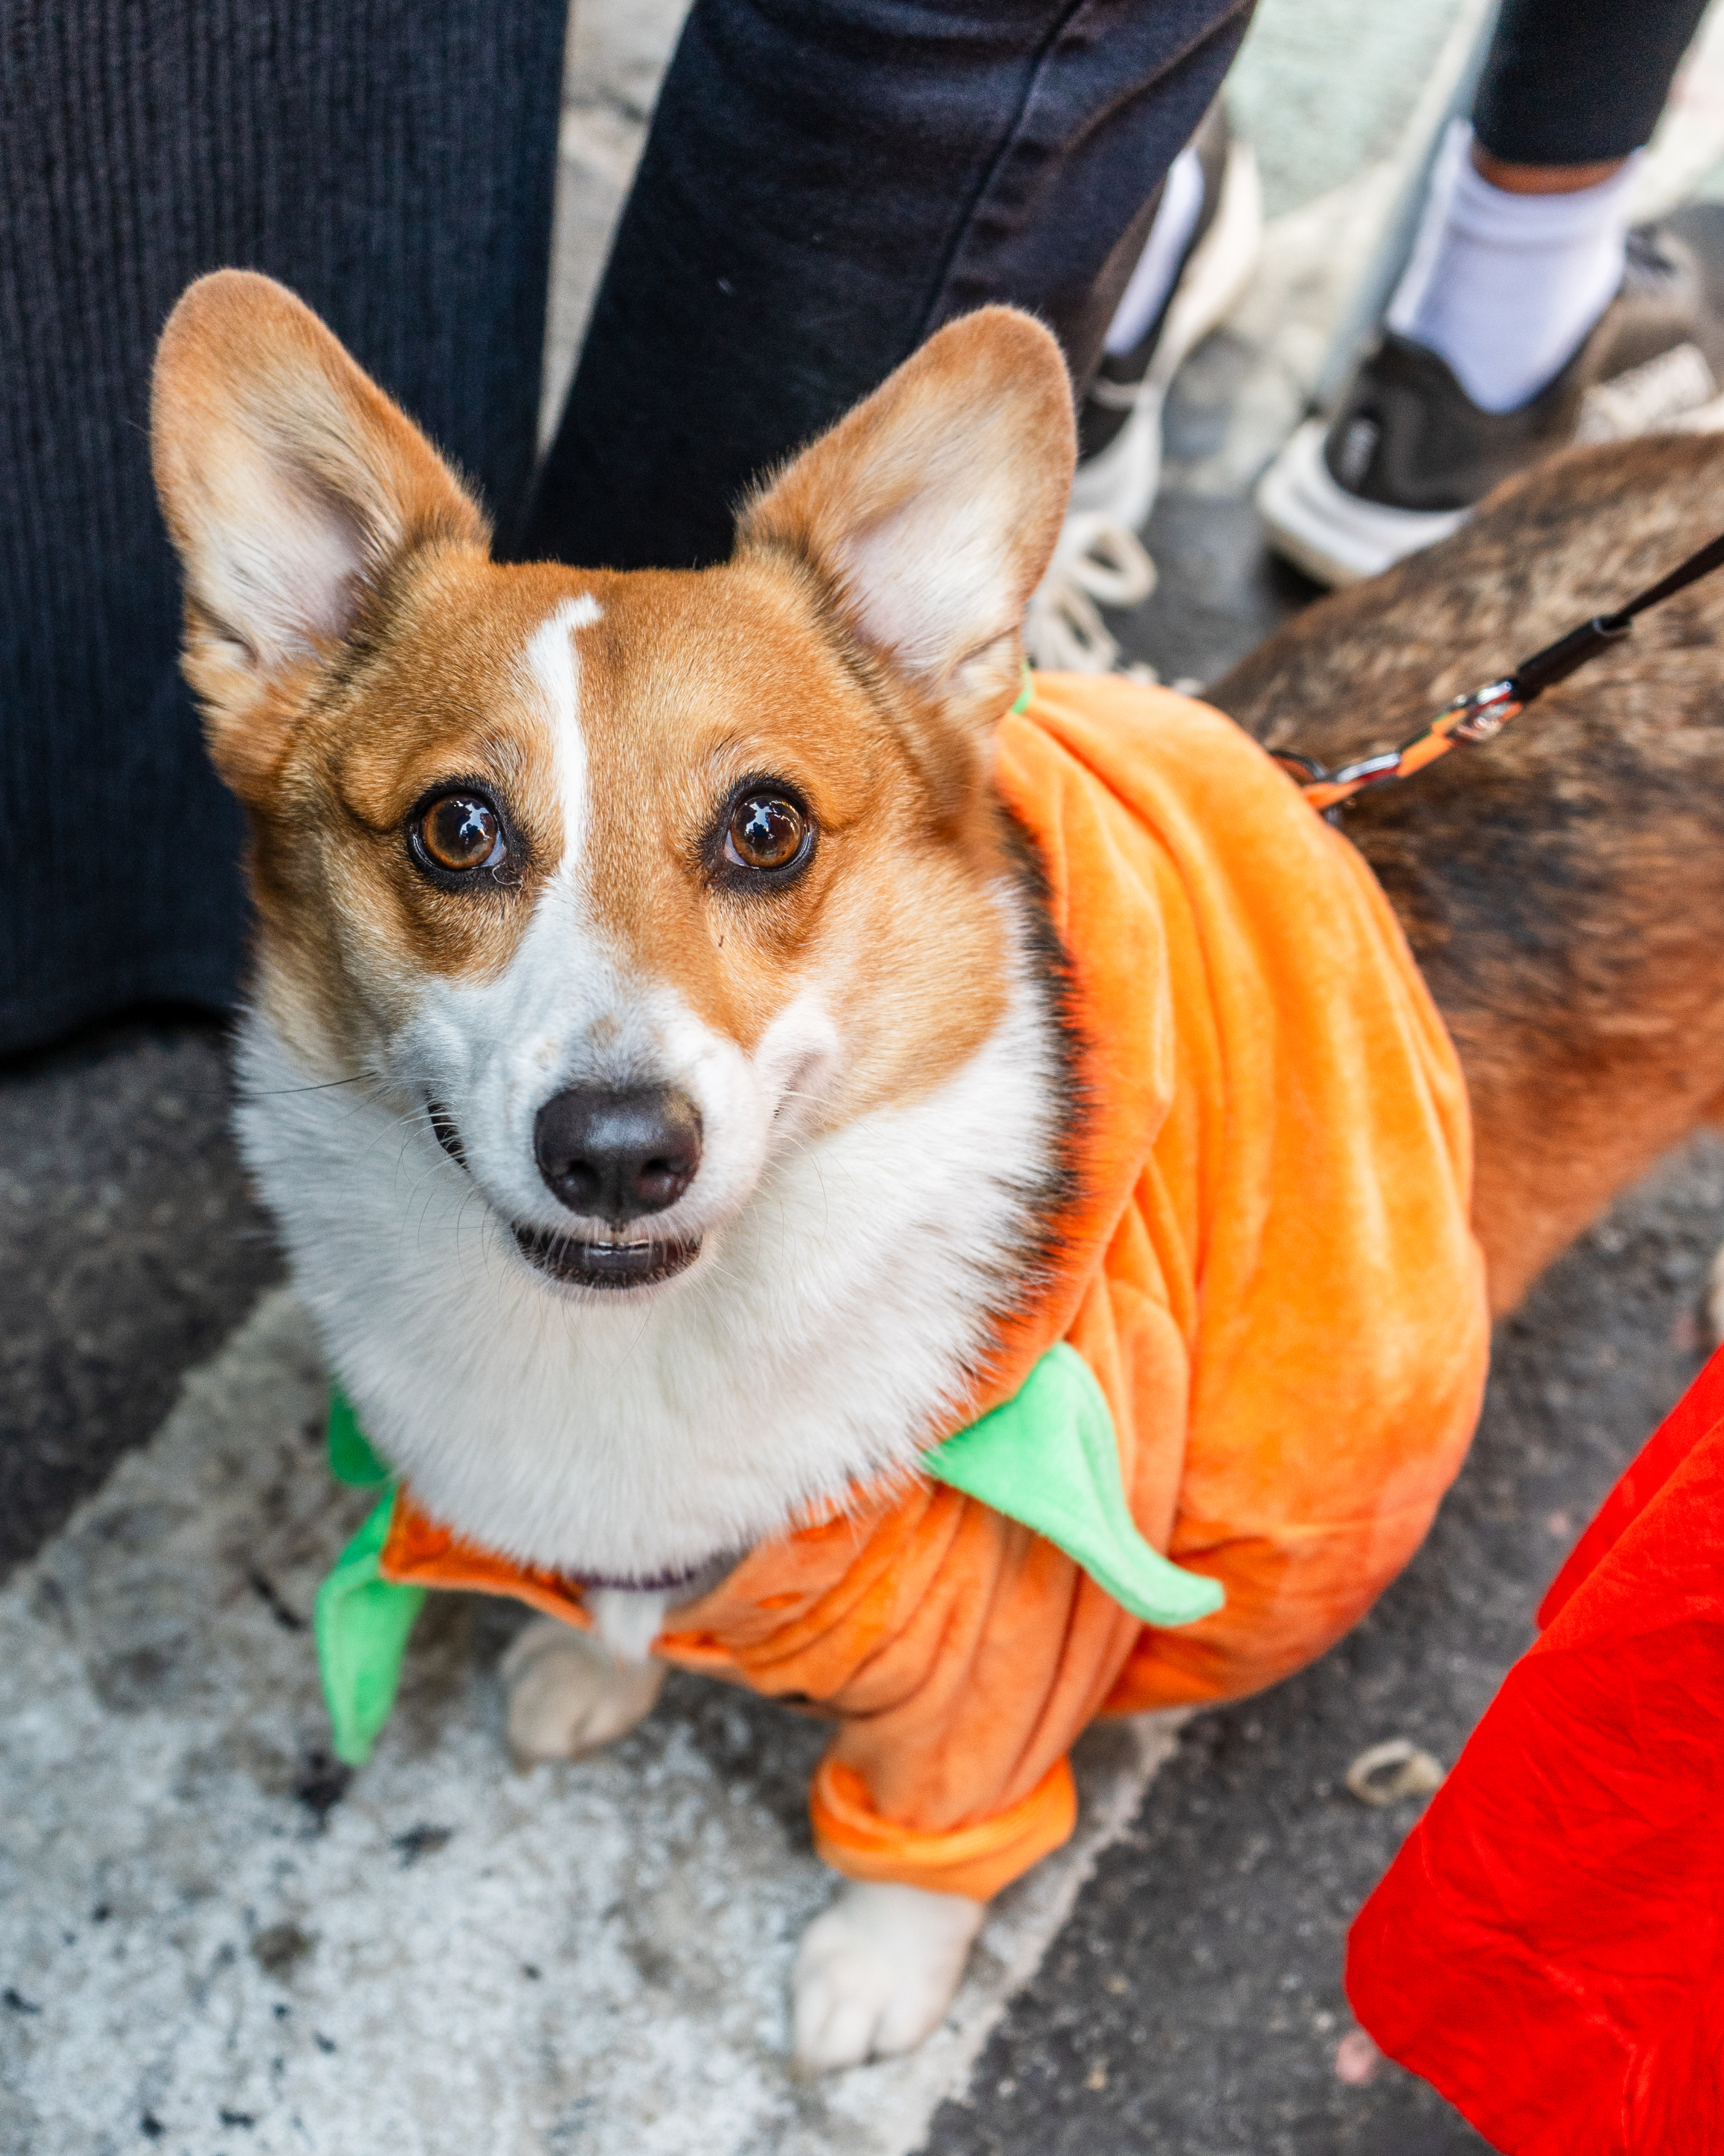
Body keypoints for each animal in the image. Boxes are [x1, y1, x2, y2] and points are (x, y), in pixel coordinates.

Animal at [149, 269, 1724, 2069]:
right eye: (454, 829)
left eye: (765, 827)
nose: (617, 1153)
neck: (649, 1346)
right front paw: (591, 1673)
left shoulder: (1003, 1661)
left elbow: (924, 1827)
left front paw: (871, 1973)